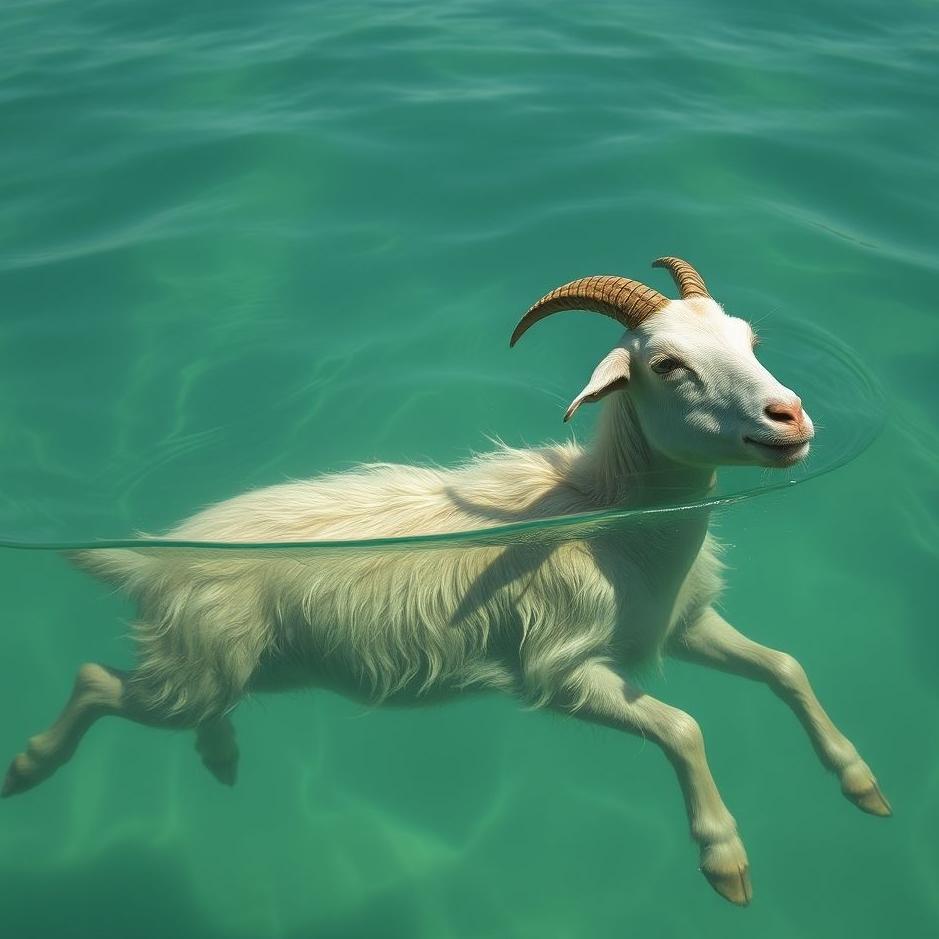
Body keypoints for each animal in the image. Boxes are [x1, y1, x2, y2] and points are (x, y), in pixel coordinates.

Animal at [2, 256, 889, 905]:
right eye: (666, 364)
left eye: (746, 337)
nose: (787, 418)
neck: (612, 519)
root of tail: (151, 555)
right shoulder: (561, 670)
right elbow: (683, 728)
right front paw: (724, 858)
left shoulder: (676, 624)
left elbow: (785, 668)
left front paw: (861, 781)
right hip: (197, 659)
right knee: (97, 681)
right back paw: (31, 766)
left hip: (235, 662)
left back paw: (220, 755)